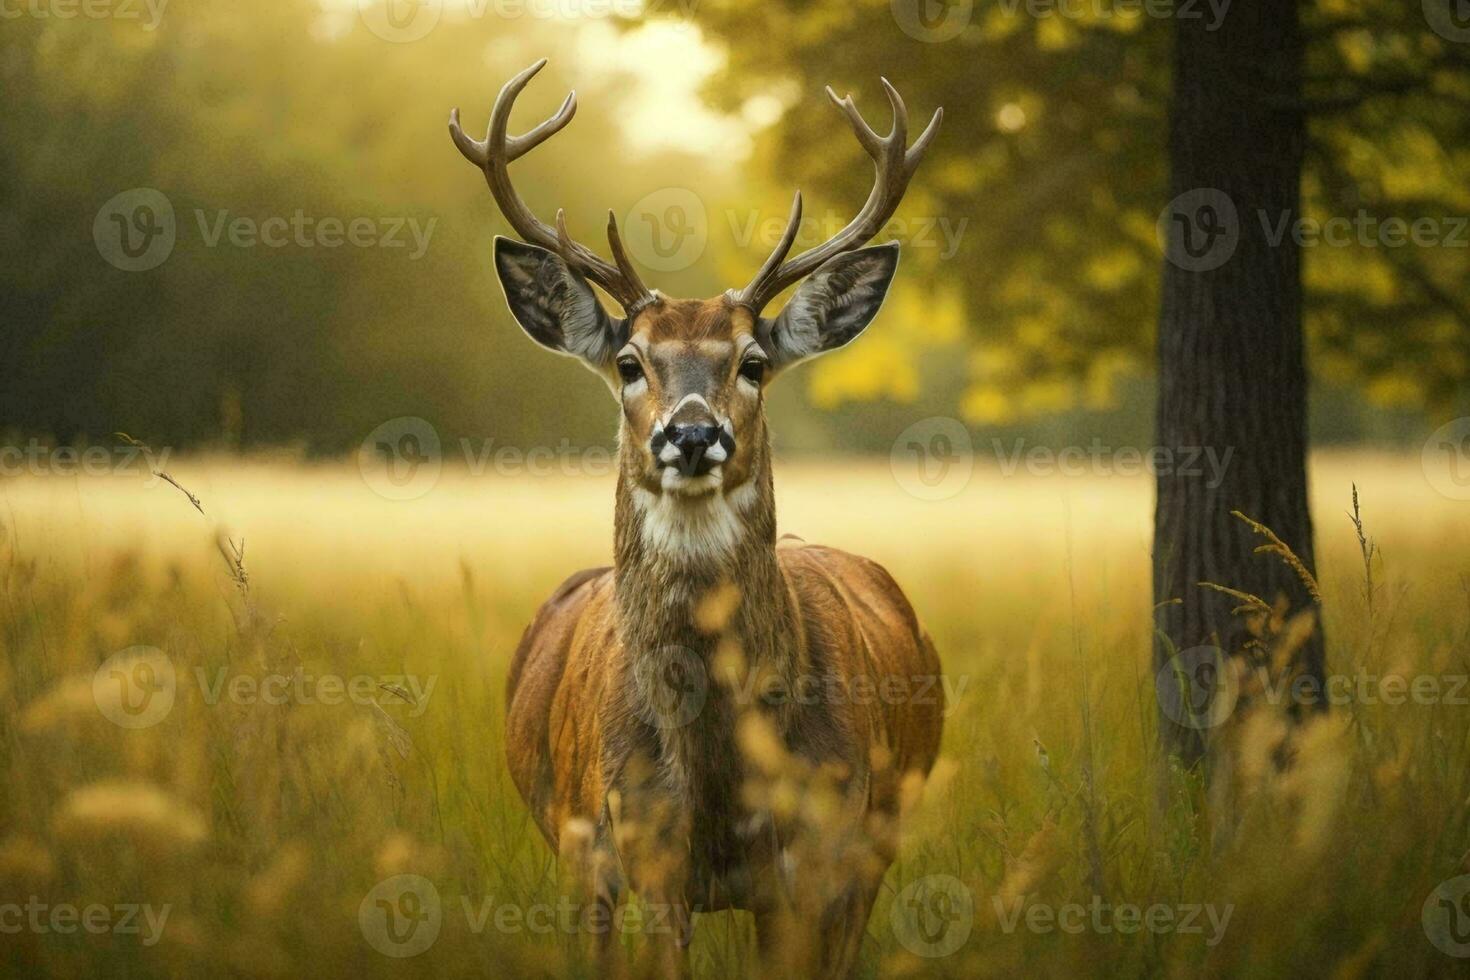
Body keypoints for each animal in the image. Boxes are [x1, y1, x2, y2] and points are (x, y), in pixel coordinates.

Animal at [446, 59, 946, 975]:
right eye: (628, 361)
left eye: (752, 362)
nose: (690, 434)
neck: (716, 773)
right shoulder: (644, 846)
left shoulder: (817, 850)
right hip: (576, 849)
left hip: (879, 838)